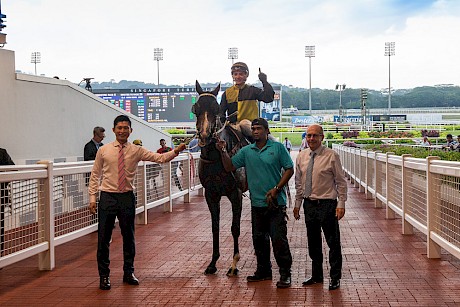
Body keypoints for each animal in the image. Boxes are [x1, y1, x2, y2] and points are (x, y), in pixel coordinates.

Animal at [191, 80, 248, 276]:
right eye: (195, 108)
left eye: (216, 108)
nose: (205, 135)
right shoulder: (211, 194)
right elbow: (215, 227)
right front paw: (213, 262)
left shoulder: (235, 193)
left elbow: (235, 228)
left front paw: (234, 263)